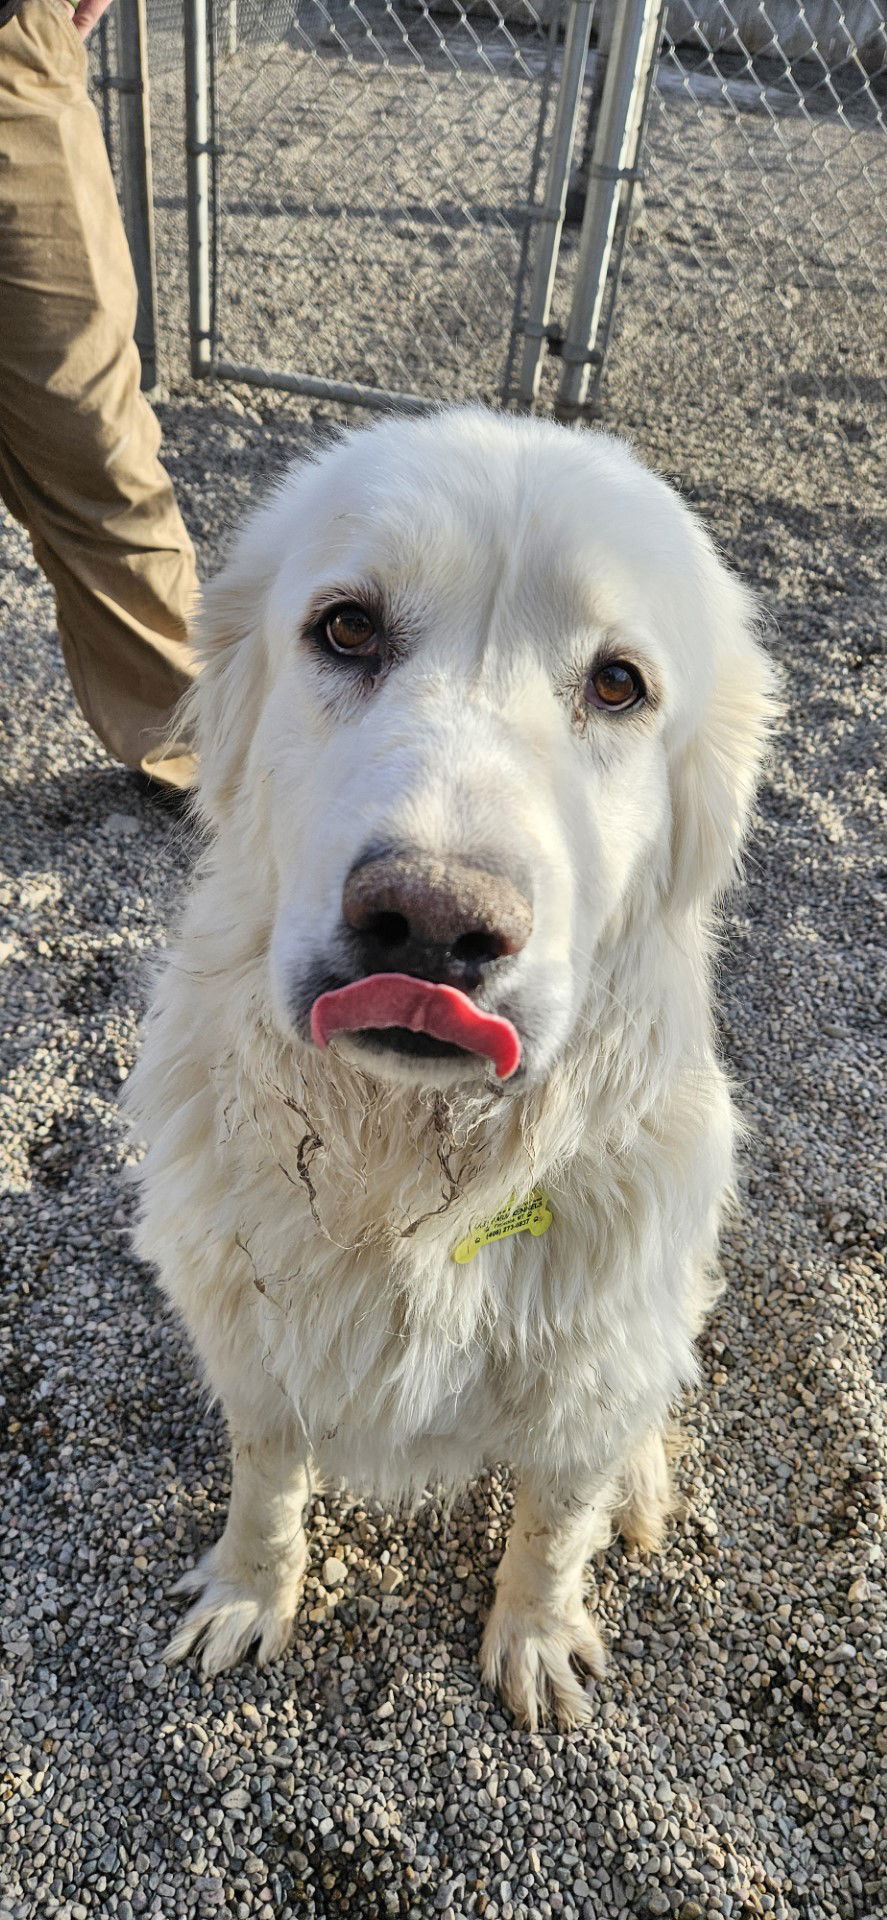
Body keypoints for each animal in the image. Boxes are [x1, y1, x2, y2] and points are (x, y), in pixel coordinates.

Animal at [126, 405, 775, 1728]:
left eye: (616, 684)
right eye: (346, 627)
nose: (429, 925)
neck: (409, 1166)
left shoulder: (585, 1376)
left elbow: (556, 1520)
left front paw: (535, 1635)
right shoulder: (254, 1342)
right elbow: (266, 1484)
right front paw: (249, 1594)